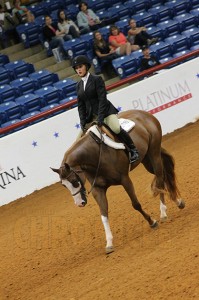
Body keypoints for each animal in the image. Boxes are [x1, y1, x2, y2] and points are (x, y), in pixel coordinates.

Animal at [51, 109, 185, 254]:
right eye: (64, 185)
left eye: (74, 181)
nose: (79, 204)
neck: (94, 155)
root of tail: (143, 113)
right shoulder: (98, 189)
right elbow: (103, 215)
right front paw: (109, 243)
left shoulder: (125, 179)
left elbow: (135, 204)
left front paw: (152, 222)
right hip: (146, 159)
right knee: (163, 176)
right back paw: (178, 202)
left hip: (153, 153)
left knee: (160, 178)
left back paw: (163, 212)